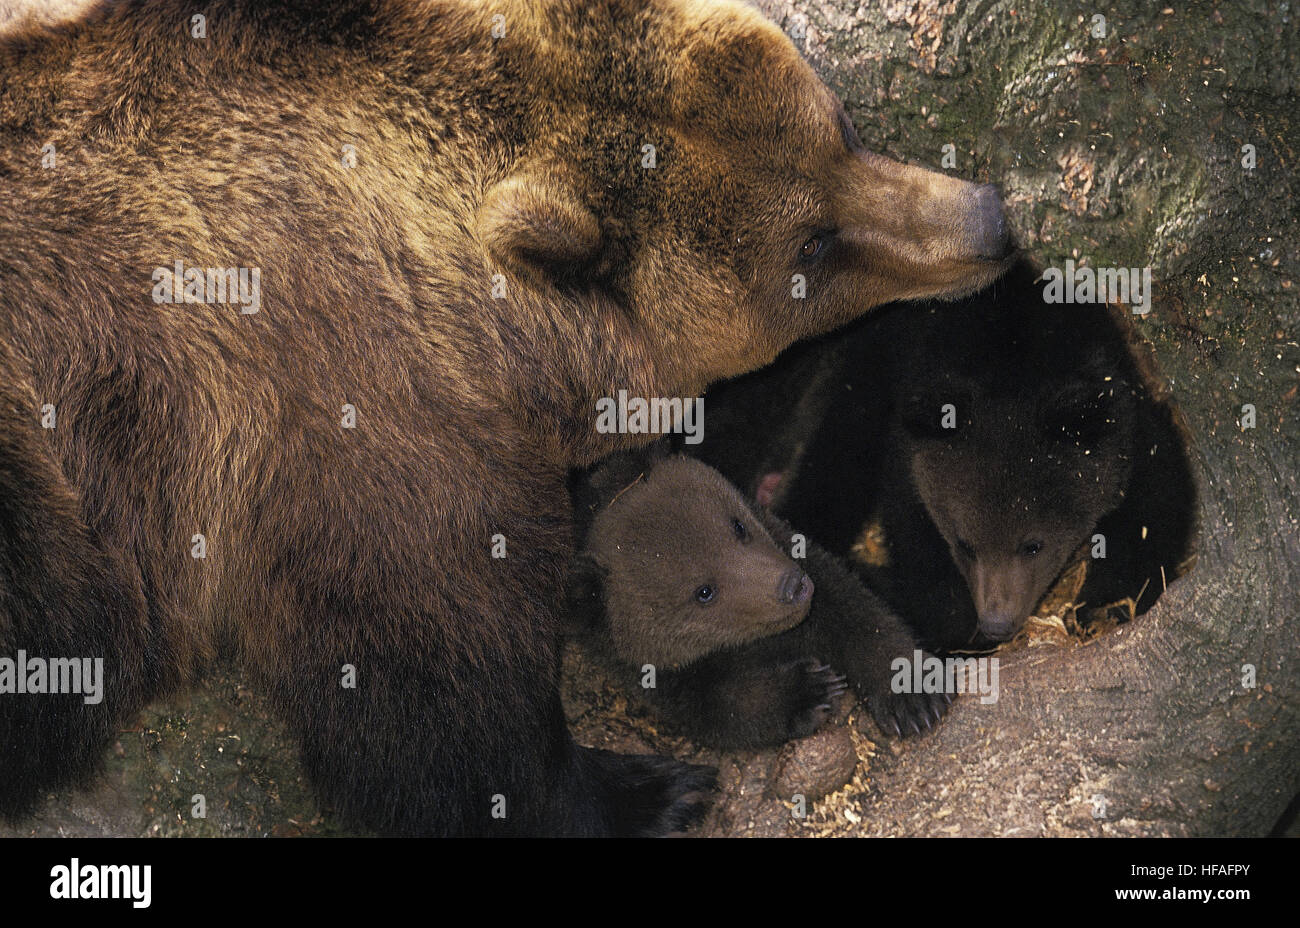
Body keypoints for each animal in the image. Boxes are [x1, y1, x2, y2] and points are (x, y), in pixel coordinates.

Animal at [567, 448, 949, 748]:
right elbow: (727, 709)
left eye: (737, 526)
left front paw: (910, 692)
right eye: (703, 592)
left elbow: (858, 615)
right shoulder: (663, 676)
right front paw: (808, 692)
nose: (791, 586)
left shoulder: (801, 555)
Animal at [719, 260, 1195, 652]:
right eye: (965, 544)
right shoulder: (909, 450)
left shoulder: (1125, 418)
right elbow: (922, 556)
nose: (998, 622)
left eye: (1033, 544)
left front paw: (1101, 605)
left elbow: (1155, 502)